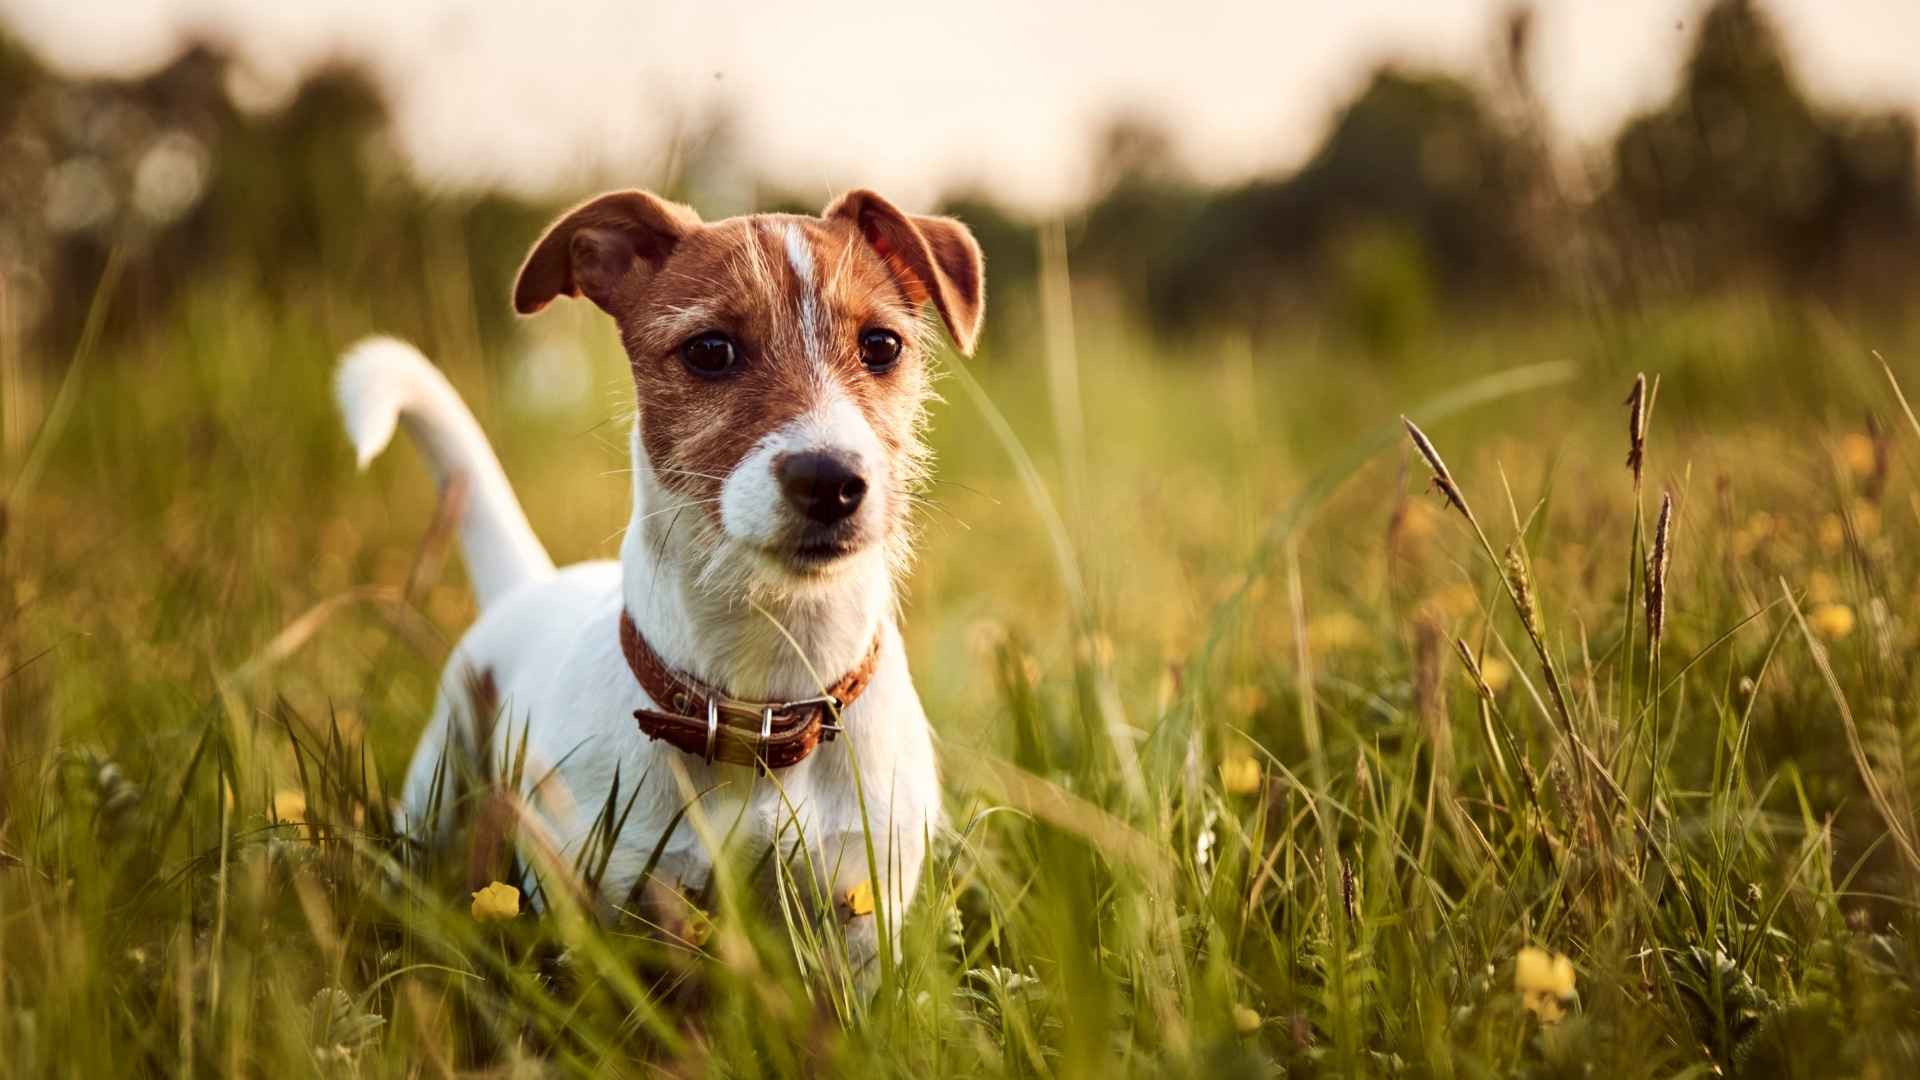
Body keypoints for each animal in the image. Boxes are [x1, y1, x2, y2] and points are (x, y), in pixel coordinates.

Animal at [334, 189, 975, 972]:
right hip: (438, 788)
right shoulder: (608, 900)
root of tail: (530, 583)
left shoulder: (860, 909)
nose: (830, 479)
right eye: (709, 351)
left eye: (881, 346)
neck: (762, 703)